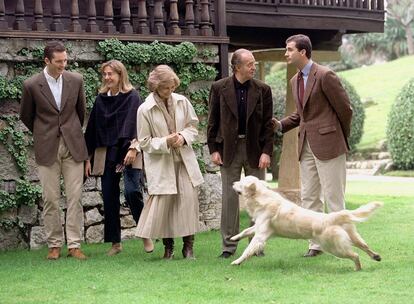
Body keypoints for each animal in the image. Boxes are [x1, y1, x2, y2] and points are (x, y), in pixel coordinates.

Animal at [231, 176, 380, 270]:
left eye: (241, 182)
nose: (232, 182)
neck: (262, 198)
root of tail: (332, 217)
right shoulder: (260, 227)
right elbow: (245, 231)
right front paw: (233, 238)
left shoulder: (261, 235)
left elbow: (248, 249)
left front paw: (236, 262)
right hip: (351, 237)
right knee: (364, 246)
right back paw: (376, 256)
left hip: (334, 247)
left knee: (355, 255)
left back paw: (358, 268)